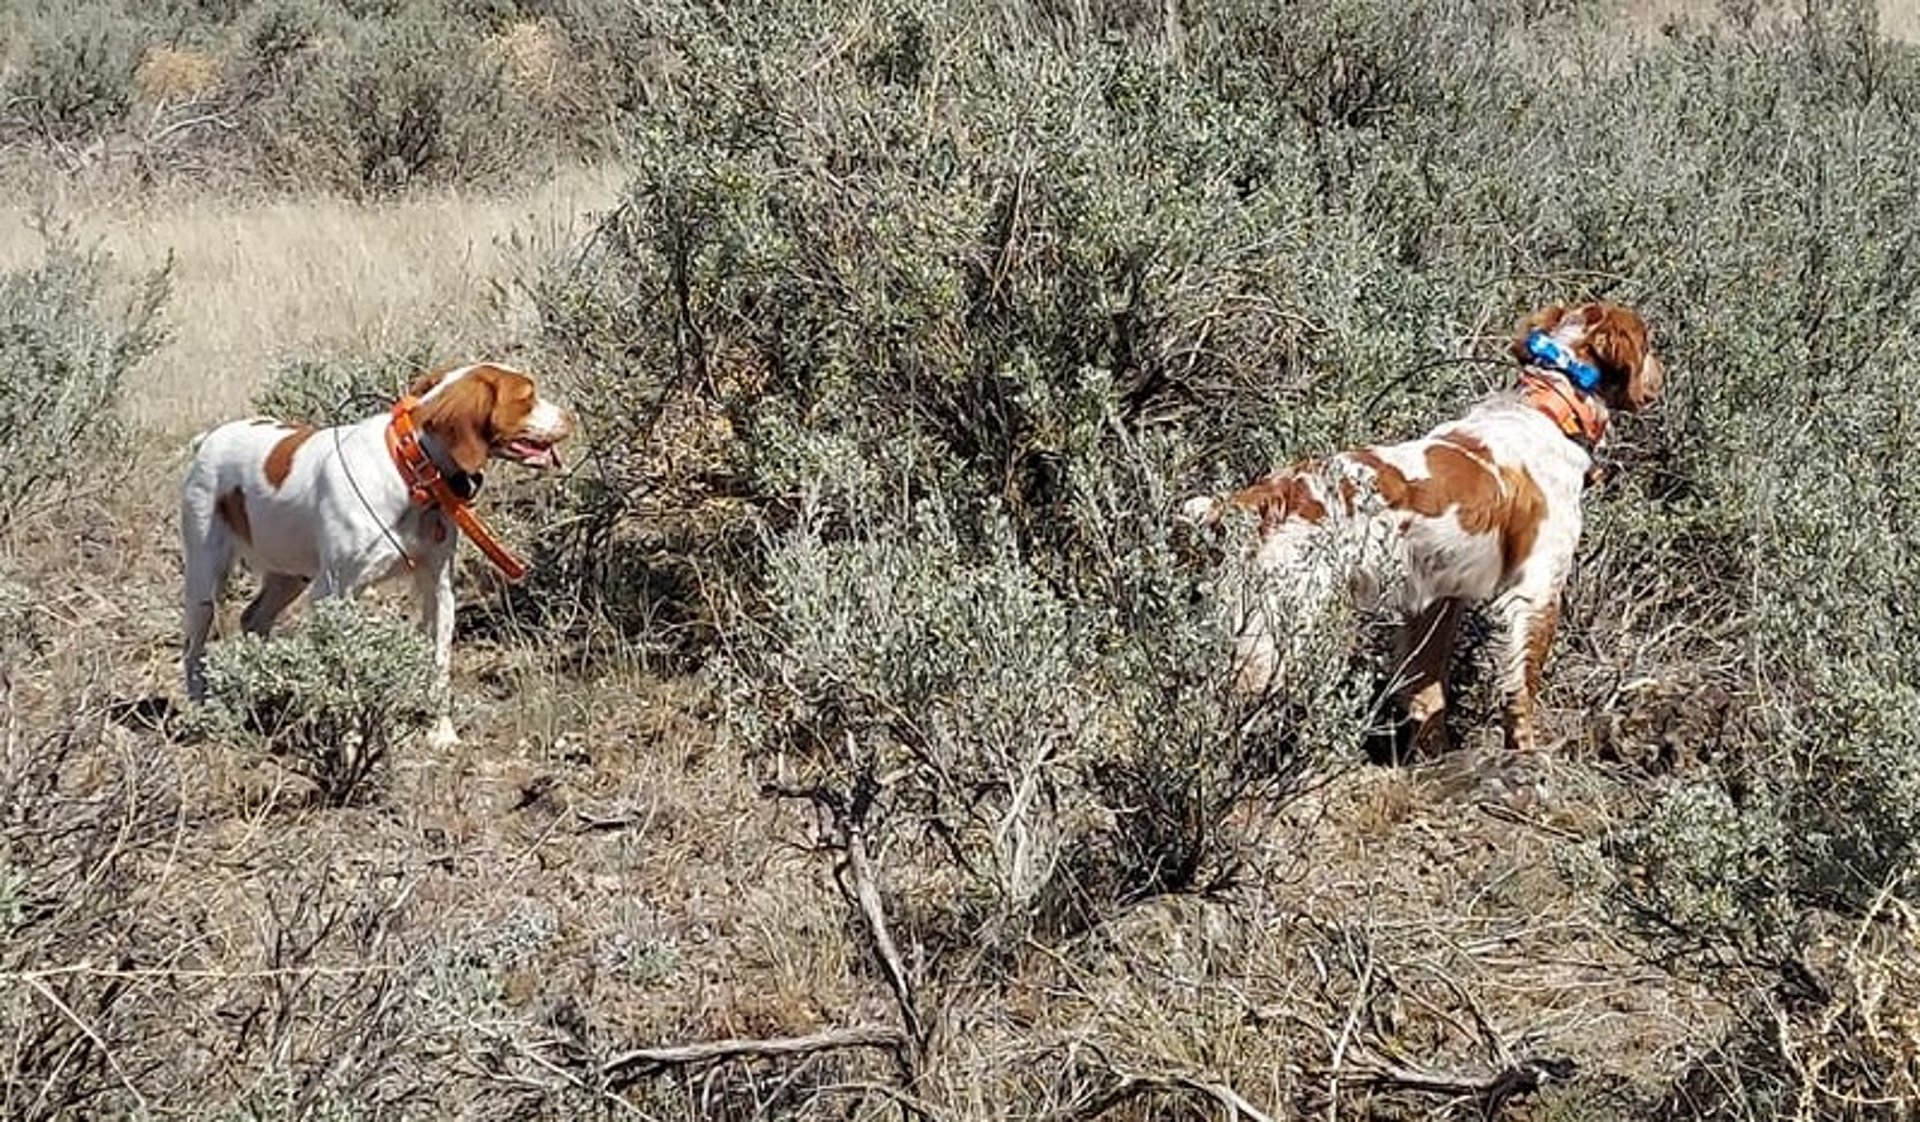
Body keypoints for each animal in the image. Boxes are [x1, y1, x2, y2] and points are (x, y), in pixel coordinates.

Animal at [1175, 305, 1658, 753]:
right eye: (1649, 343)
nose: (1662, 376)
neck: (1550, 409)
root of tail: (1272, 491)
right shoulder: (1537, 589)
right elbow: (1520, 691)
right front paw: (1526, 752)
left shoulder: (1437, 600)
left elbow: (1427, 690)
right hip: (1277, 622)